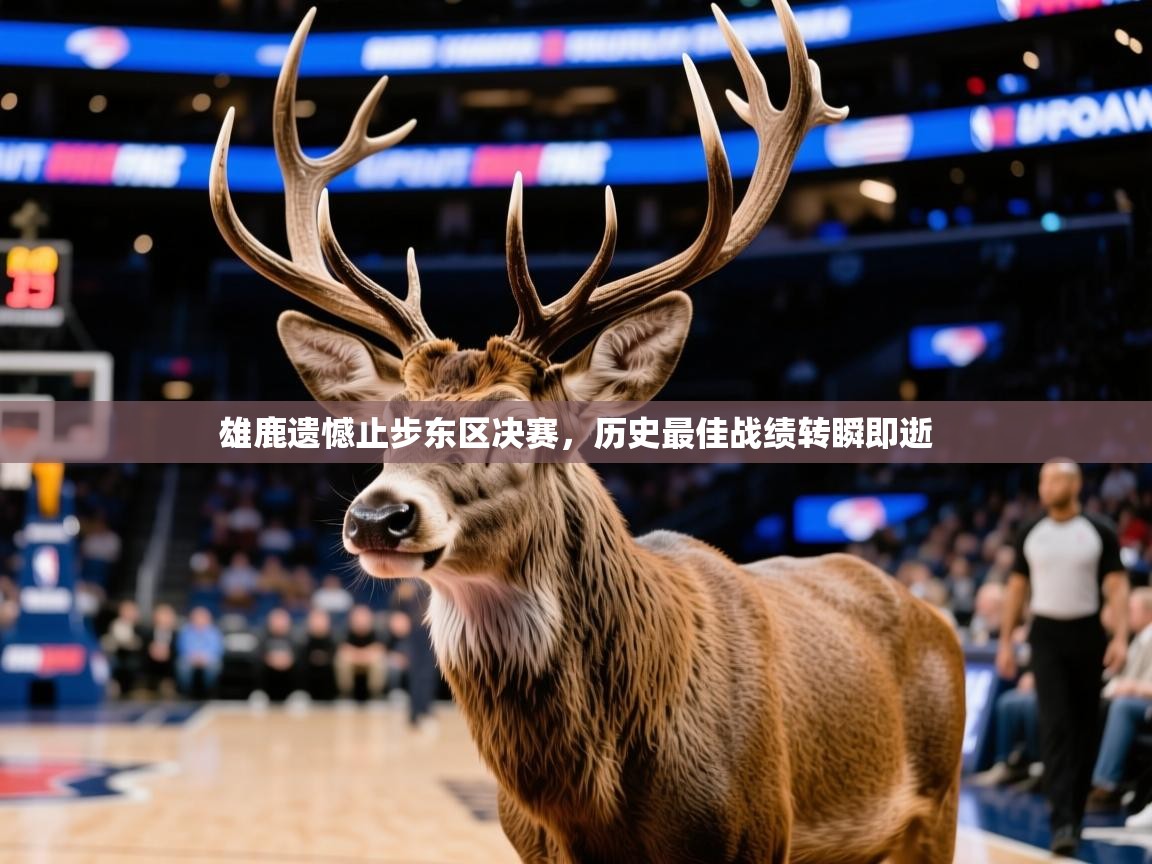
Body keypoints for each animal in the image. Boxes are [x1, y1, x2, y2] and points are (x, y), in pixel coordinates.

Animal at [208, 1, 966, 861]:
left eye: (516, 421)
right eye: (389, 421)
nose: (379, 515)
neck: (600, 805)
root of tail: (935, 615)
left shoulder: (754, 828)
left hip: (934, 806)